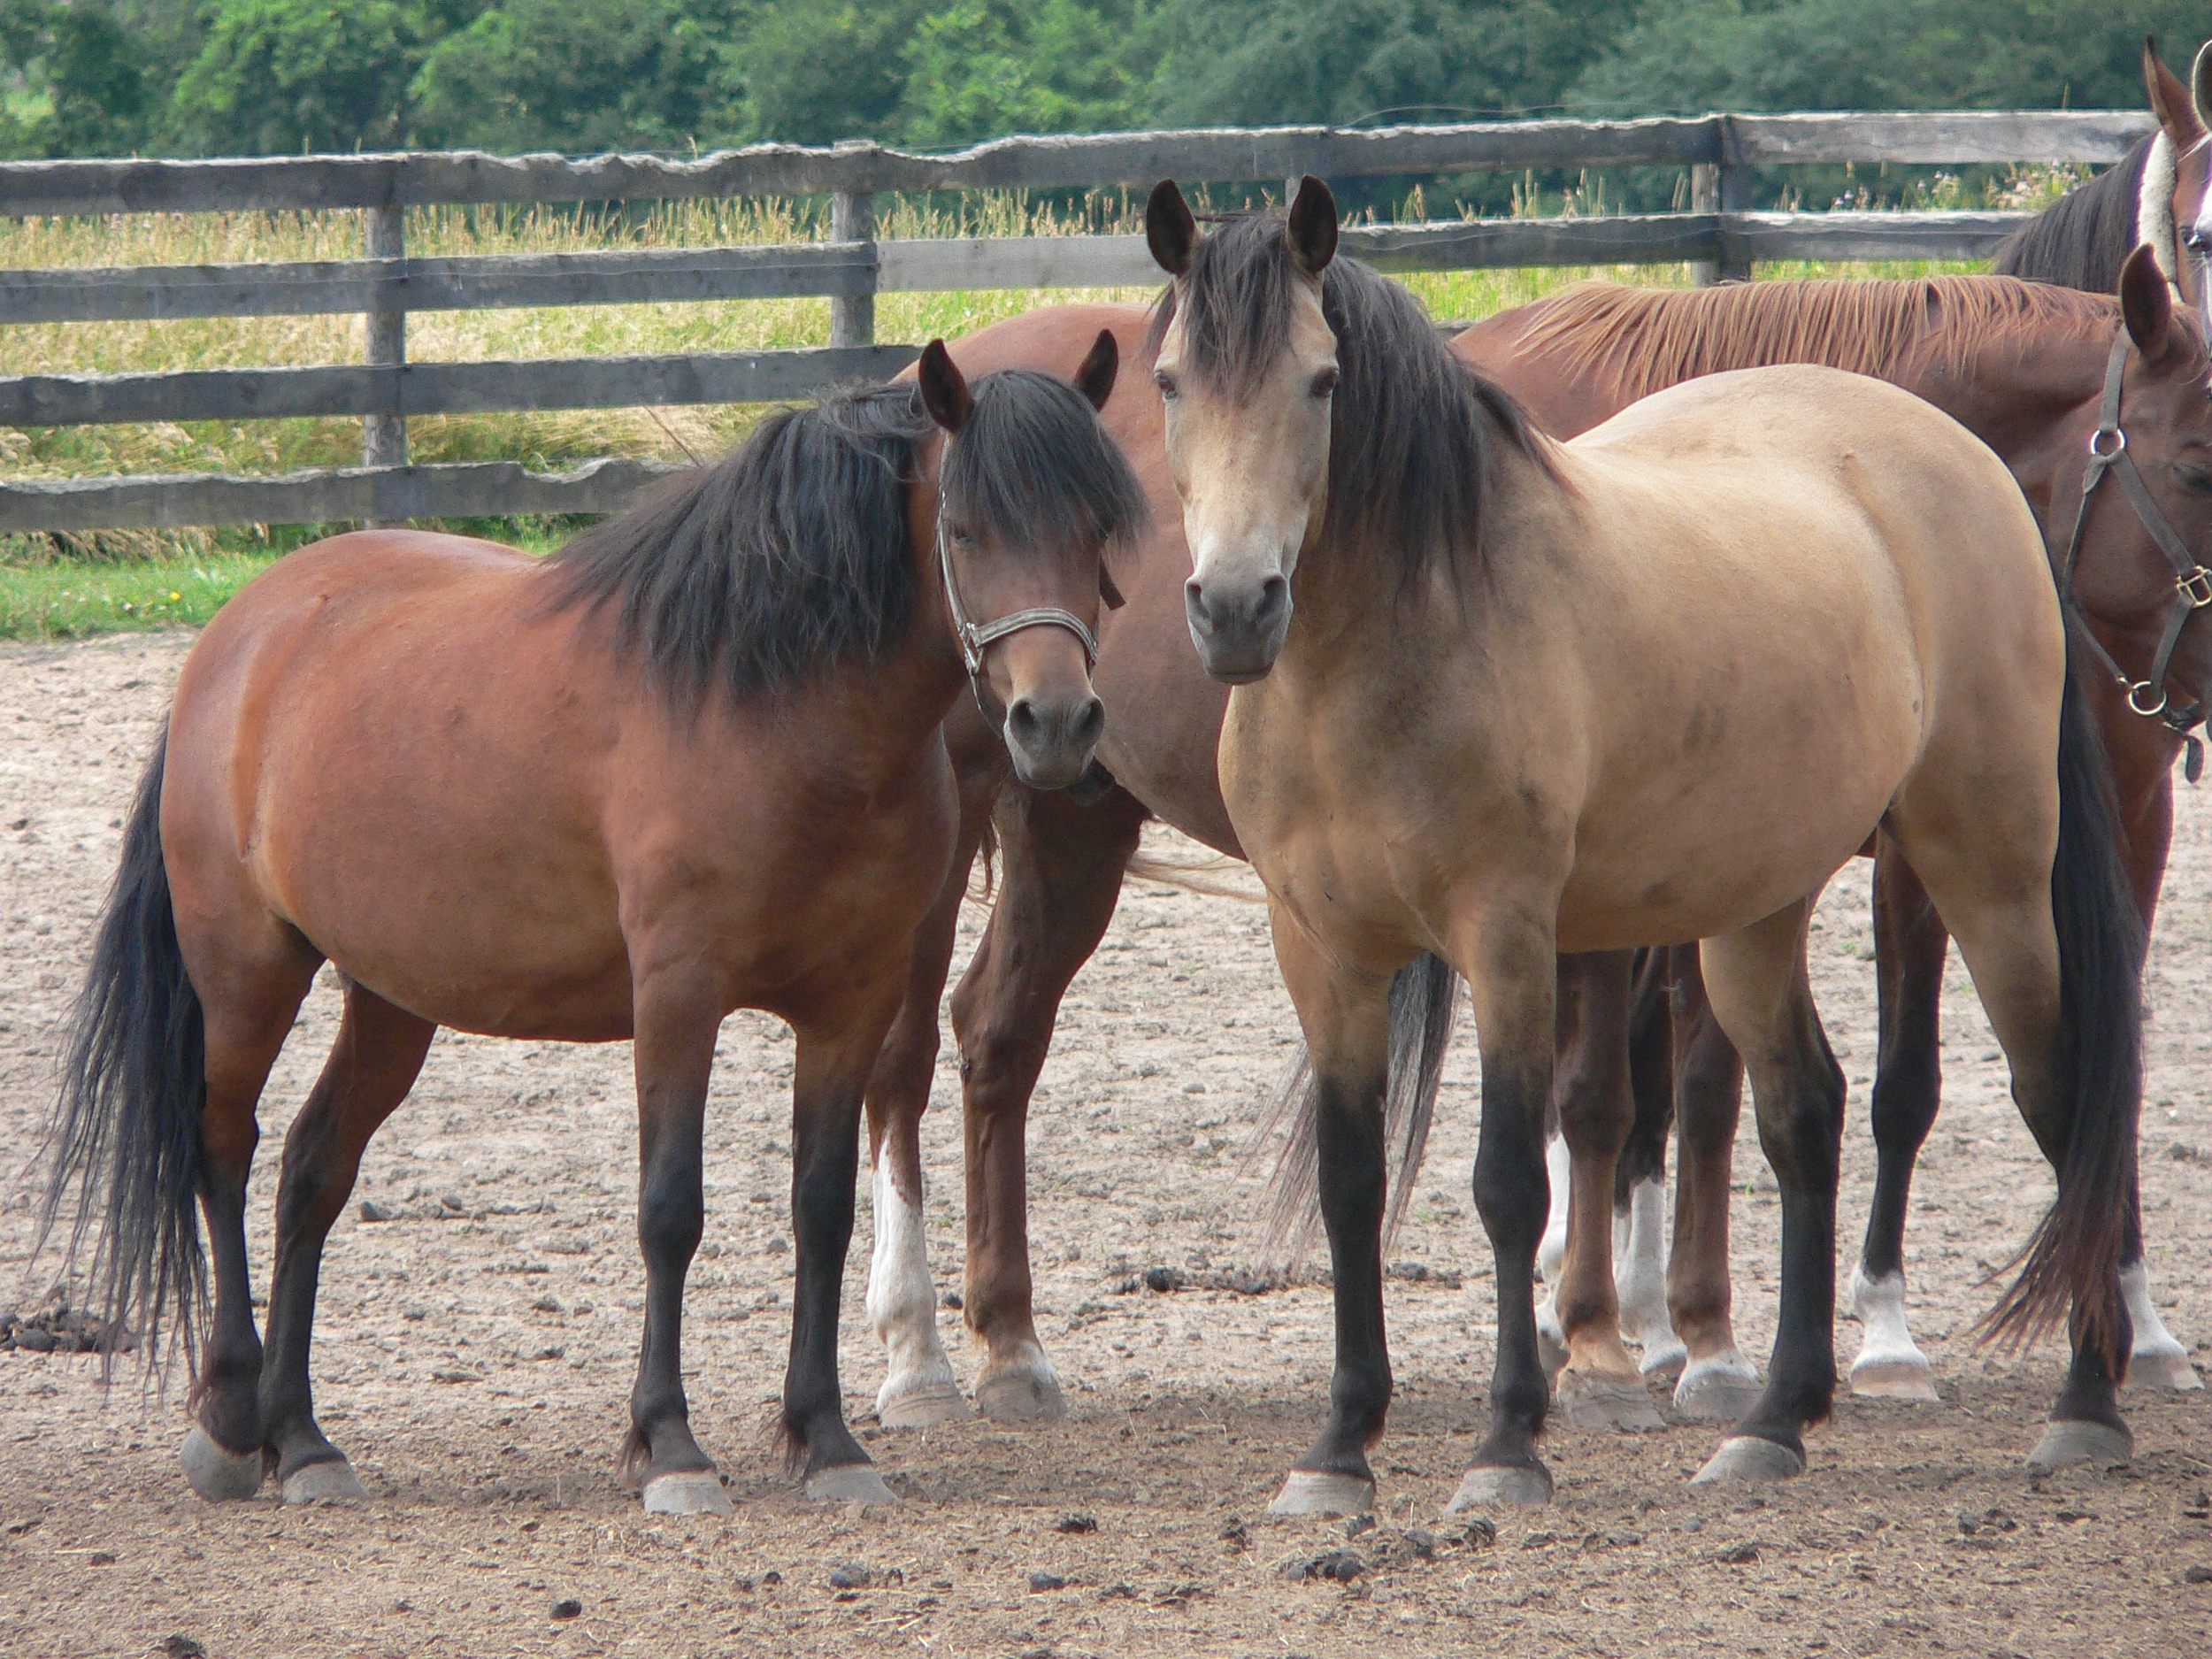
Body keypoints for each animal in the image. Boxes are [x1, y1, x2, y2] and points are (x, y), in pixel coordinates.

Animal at [35, 337, 1146, 1513]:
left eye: (1096, 528)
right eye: (967, 529)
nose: (1056, 723)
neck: (776, 709)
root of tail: (245, 632)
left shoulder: (847, 1009)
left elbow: (822, 1210)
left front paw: (825, 1438)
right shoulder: (677, 999)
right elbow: (670, 1212)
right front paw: (669, 1445)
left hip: (391, 999)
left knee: (310, 1172)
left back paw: (303, 1441)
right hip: (246, 974)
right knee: (222, 1150)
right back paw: (229, 1417)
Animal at [853, 263, 2212, 1450]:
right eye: (2199, 460)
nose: (2177, 715)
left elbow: (1714, 1089)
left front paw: (1681, 1333)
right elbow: (1633, 1096)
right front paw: (1634, 1340)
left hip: (1072, 812)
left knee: (997, 1033)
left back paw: (1009, 1342)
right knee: (908, 1053)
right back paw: (915, 1351)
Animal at [1140, 173, 2147, 1513]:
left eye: (1320, 379)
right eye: (1167, 380)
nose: (1235, 607)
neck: (1397, 640)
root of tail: (1971, 464)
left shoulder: (1508, 936)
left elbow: (1511, 1183)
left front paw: (1508, 1442)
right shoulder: (1322, 950)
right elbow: (1353, 1188)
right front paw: (1339, 1445)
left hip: (1988, 872)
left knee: (2060, 1092)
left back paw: (2087, 1400)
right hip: (1756, 909)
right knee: (1804, 1112)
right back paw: (1775, 1418)